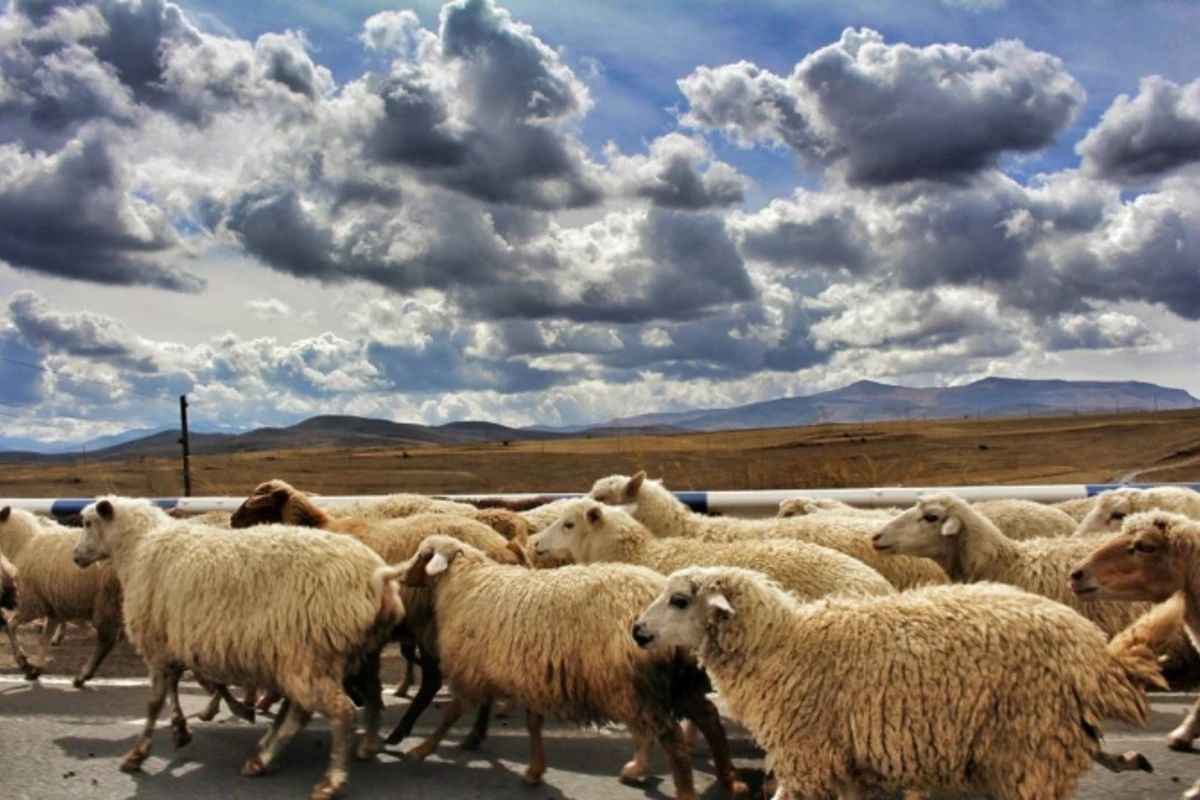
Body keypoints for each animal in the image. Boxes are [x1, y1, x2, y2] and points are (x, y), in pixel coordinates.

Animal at [0, 506, 121, 690]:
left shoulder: (31, 602)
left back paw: (83, 675)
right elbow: (44, 638)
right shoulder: (53, 606)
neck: (24, 544)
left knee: (105, 641)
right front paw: (36, 668)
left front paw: (23, 661)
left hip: (107, 601)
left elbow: (10, 626)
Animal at [75, 494, 405, 800]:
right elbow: (176, 689)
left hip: (308, 655)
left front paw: (138, 753)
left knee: (339, 712)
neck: (139, 548)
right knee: (358, 699)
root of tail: (378, 576)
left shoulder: (157, 645)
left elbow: (155, 702)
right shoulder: (174, 643)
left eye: (88, 523)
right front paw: (181, 729)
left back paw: (330, 780)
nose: (76, 556)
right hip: (347, 655)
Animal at [398, 532, 744, 800]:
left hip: (636, 682)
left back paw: (683, 788)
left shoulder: (471, 669)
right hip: (669, 681)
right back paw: (728, 779)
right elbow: (533, 724)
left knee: (671, 736)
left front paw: (422, 749)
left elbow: (452, 714)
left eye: (423, 556)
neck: (465, 584)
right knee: (708, 717)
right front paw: (535, 770)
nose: (400, 576)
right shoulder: (528, 673)